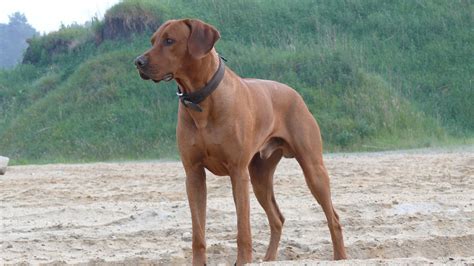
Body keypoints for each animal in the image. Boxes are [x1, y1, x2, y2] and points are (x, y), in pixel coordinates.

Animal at [135, 18, 346, 264]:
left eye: (169, 41)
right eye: (153, 40)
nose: (138, 62)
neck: (201, 100)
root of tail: (295, 93)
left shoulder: (238, 172)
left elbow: (243, 229)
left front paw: (243, 260)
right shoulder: (193, 174)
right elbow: (198, 232)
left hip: (312, 168)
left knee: (333, 217)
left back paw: (340, 257)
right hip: (259, 176)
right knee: (277, 218)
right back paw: (269, 259)